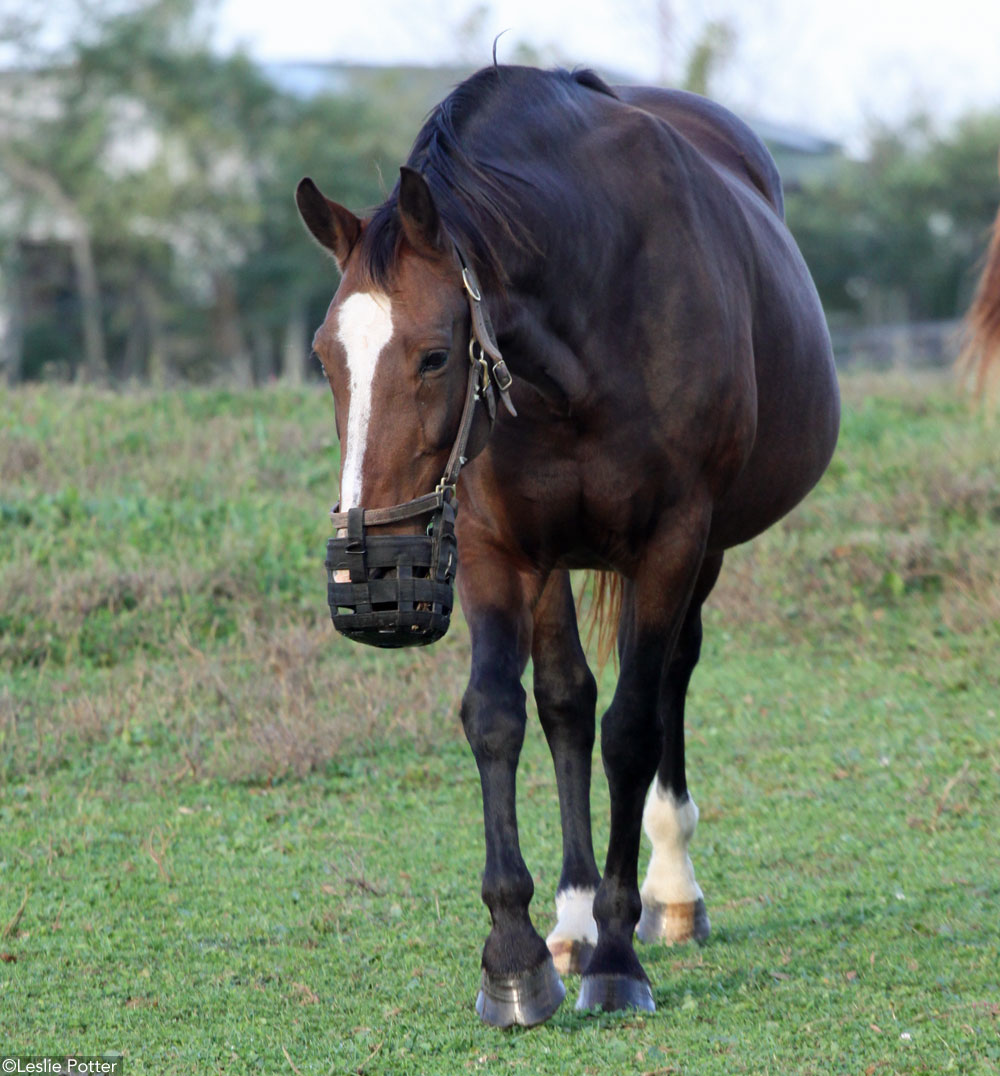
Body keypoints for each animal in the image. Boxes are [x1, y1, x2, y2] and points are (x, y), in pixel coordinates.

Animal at [294, 65, 835, 1024]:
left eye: (435, 357)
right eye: (327, 358)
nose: (374, 576)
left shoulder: (671, 542)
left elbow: (632, 727)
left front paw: (618, 958)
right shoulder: (496, 549)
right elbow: (506, 715)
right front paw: (515, 959)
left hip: (701, 556)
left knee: (669, 683)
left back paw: (669, 893)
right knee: (567, 703)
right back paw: (572, 921)